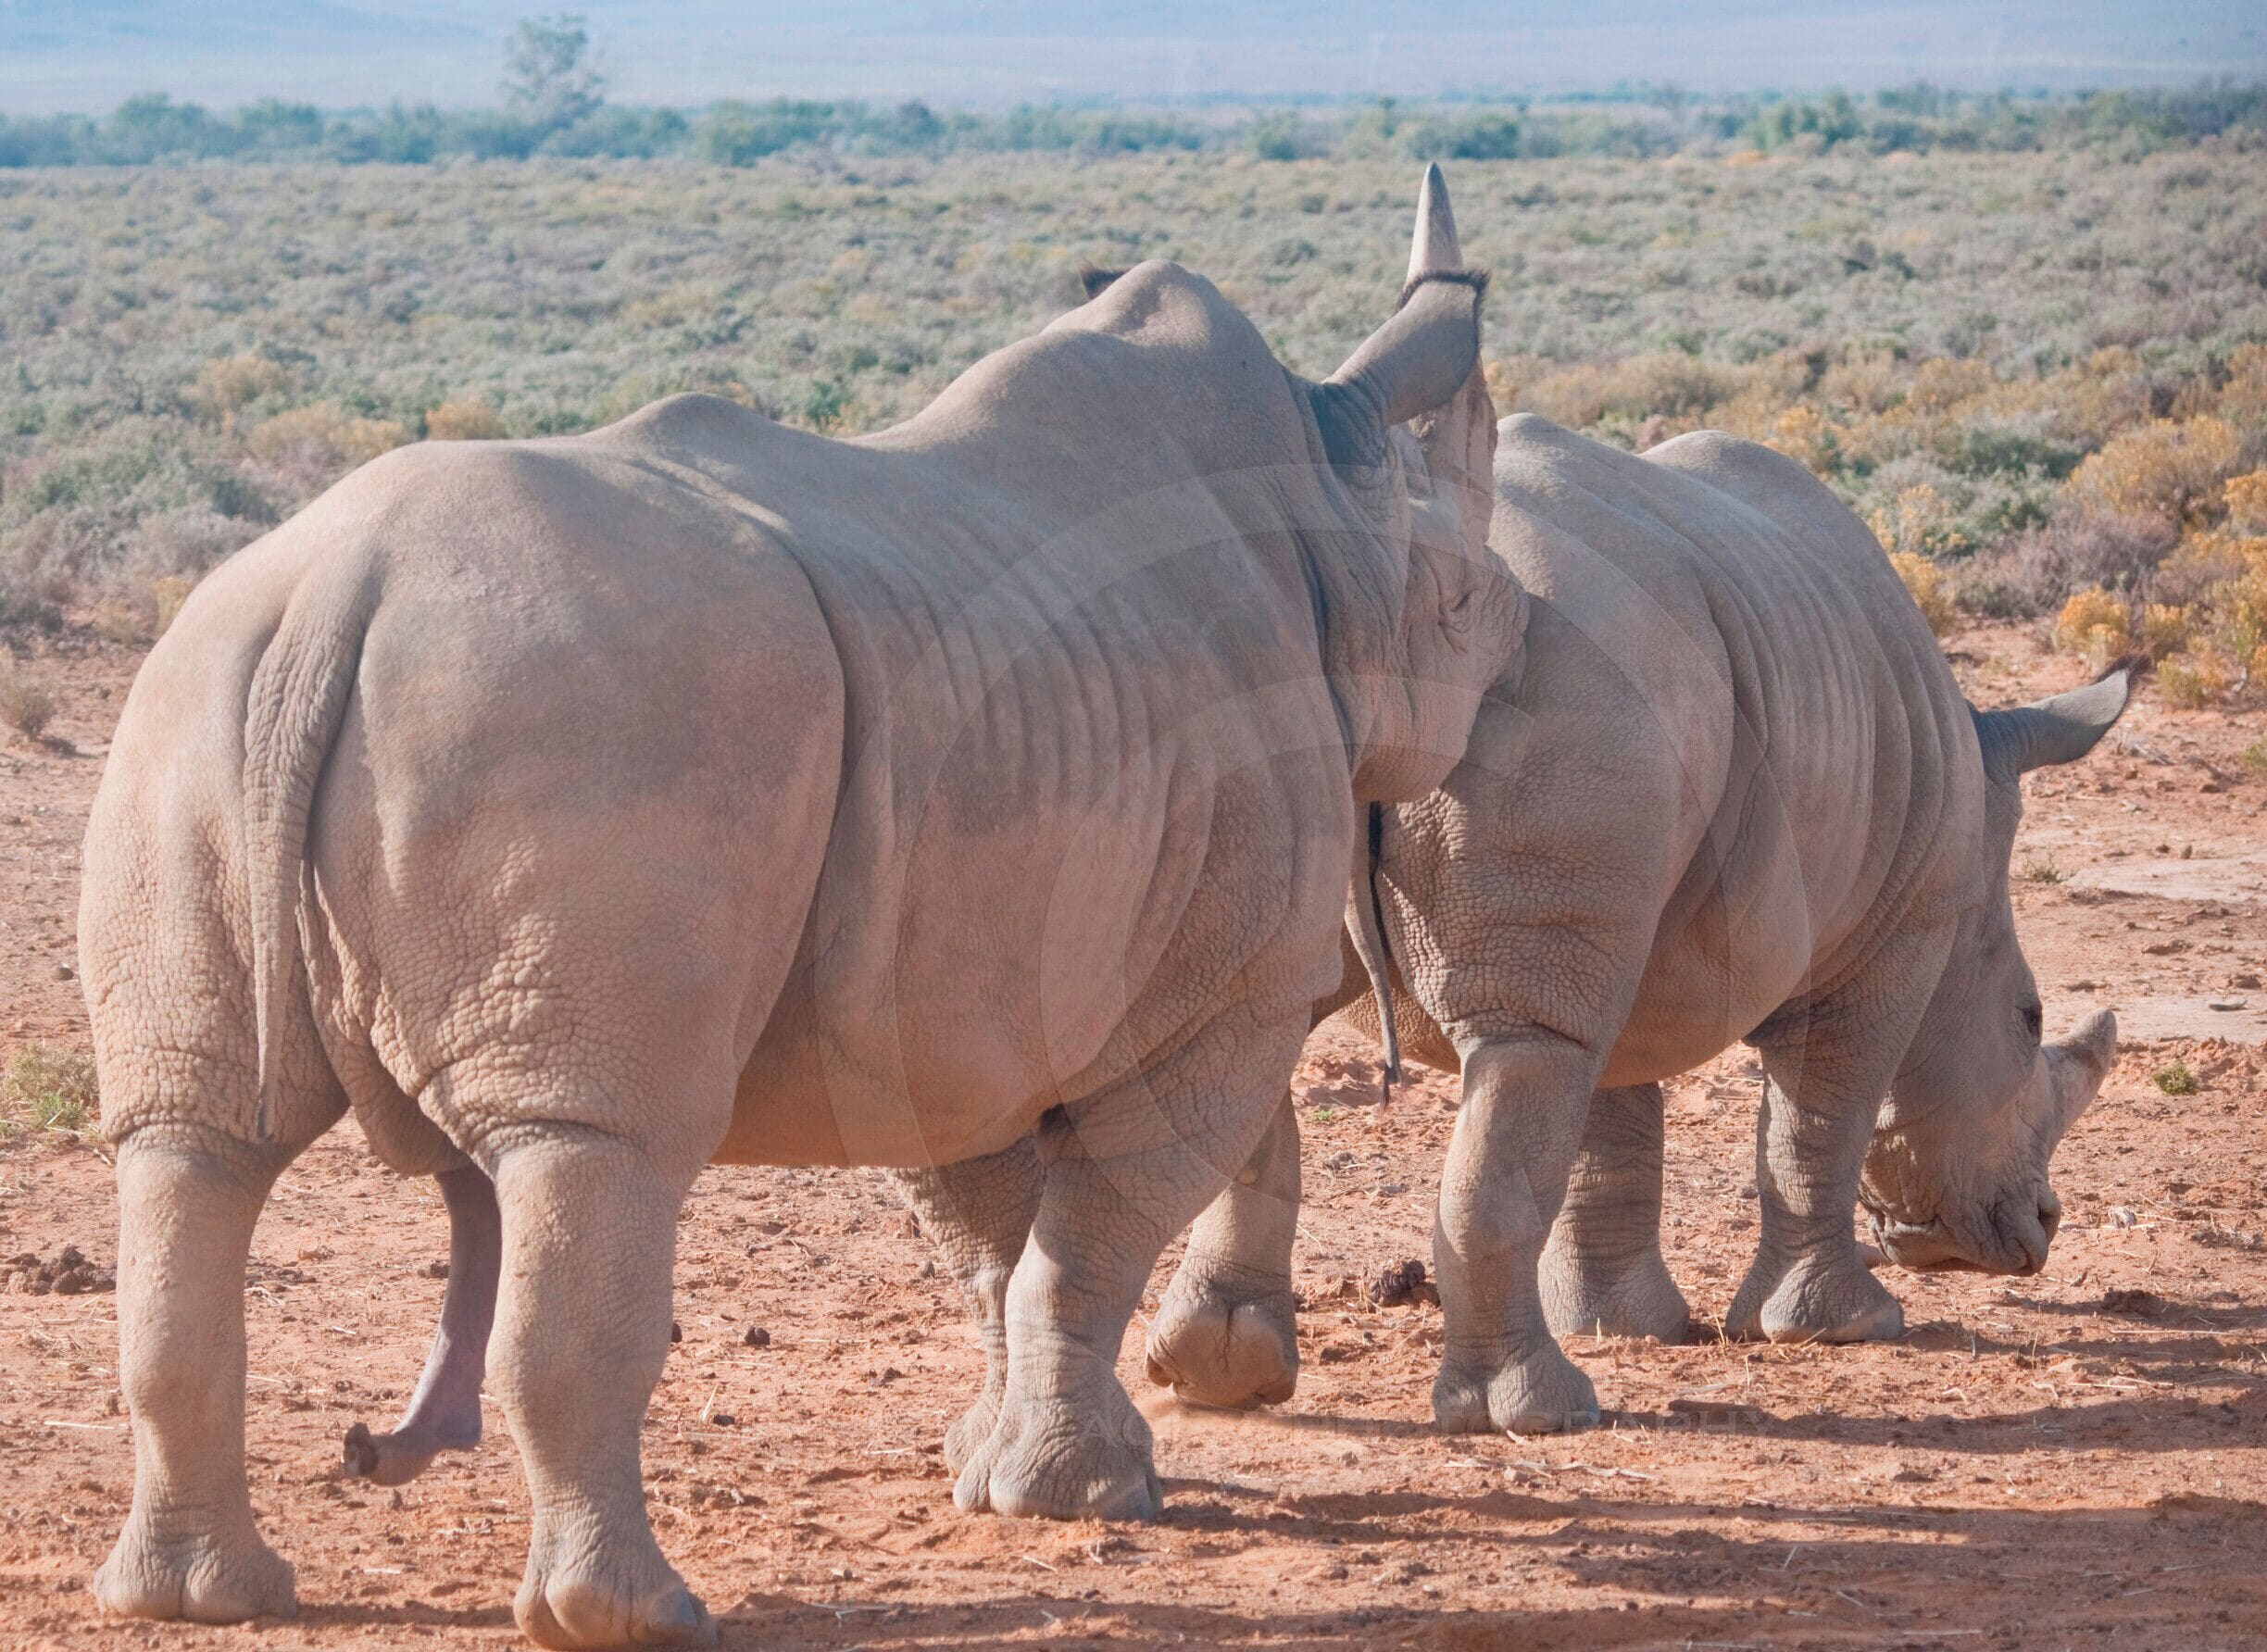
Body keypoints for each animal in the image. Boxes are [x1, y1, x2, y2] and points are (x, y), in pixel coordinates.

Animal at [81, 169, 1522, 1647]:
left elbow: (998, 1240)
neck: (1332, 503)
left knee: (193, 1138)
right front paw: (1084, 1494)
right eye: (1481, 604)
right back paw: (638, 1613)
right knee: (596, 1137)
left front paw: (993, 1464)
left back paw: (199, 1596)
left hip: (194, 702)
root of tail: (336, 596)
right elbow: (1090, 1230)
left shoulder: (942, 983)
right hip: (576, 711)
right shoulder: (1222, 994)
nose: (1513, 664)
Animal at [1134, 414, 2126, 1433]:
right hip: (1552, 707)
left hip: (1275, 707)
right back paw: (1537, 1415)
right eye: (2030, 1020)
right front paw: (1839, 1327)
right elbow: (1820, 1118)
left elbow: (1610, 1128)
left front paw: (1622, 1323)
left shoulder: (1626, 904)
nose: (2040, 1228)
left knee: (1283, 1014)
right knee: (1520, 1046)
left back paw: (1221, 1374)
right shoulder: (1892, 933)